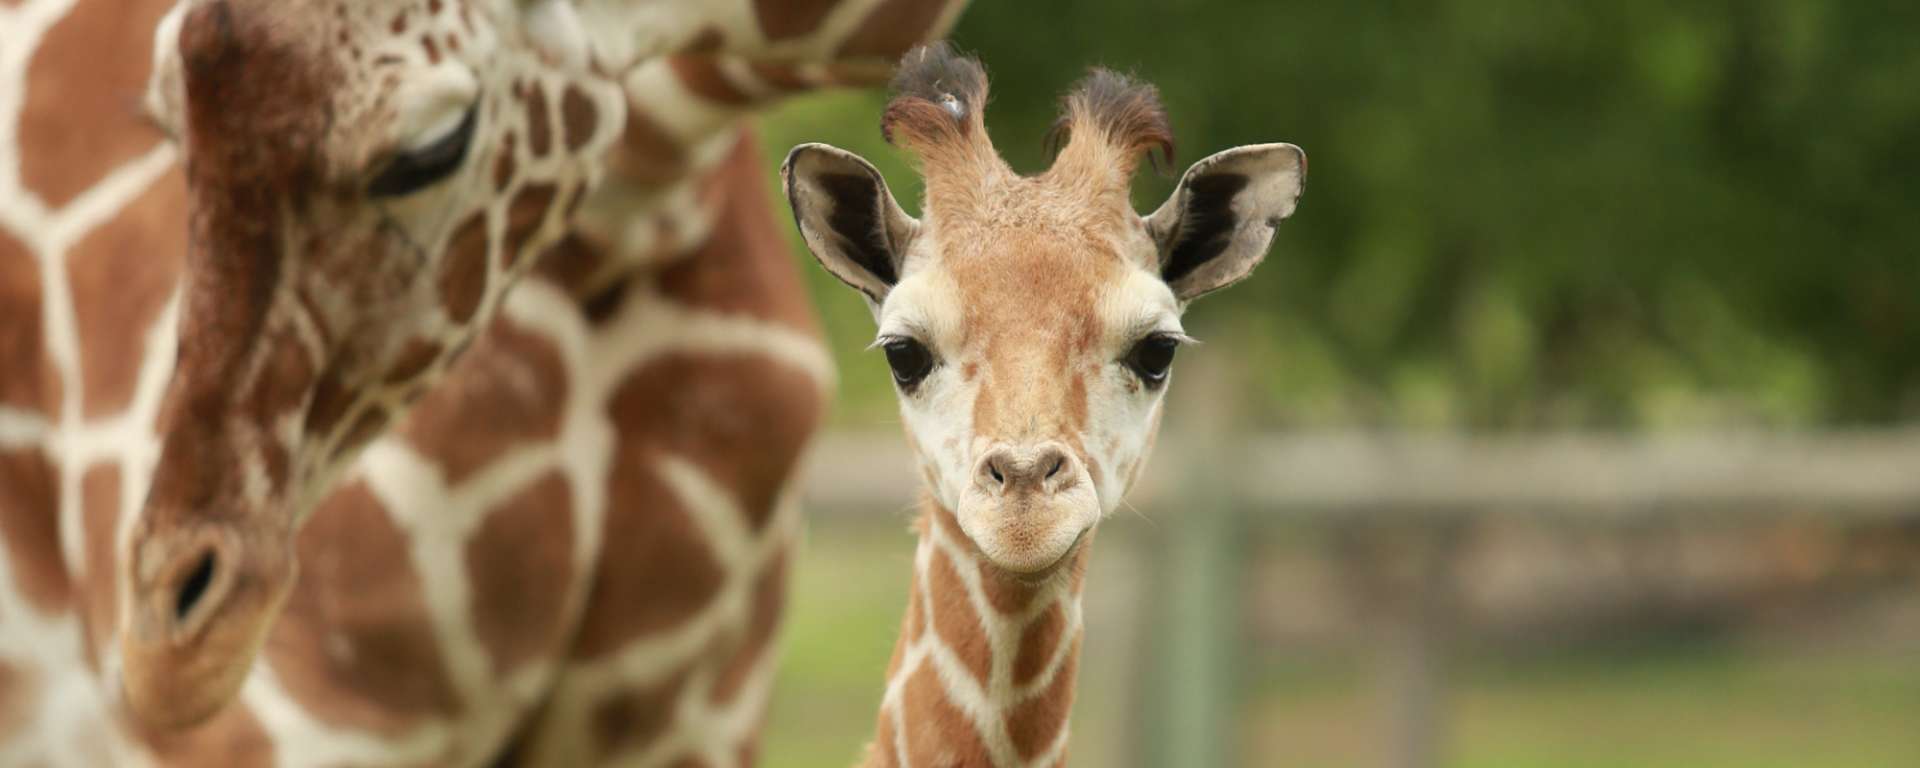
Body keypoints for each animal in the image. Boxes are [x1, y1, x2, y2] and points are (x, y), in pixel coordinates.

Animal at [0, 0, 965, 764]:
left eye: (429, 148)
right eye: (164, 119)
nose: (171, 656)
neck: (644, 205)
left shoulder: (692, 705)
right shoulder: (307, 710)